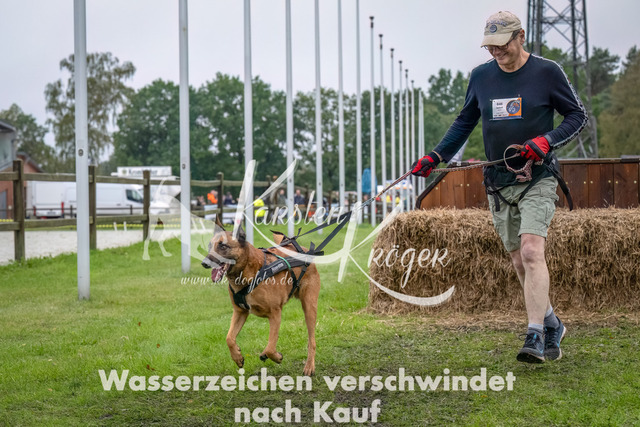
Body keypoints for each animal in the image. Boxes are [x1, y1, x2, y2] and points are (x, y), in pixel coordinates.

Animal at [201, 217, 320, 376]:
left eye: (223, 246)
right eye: (210, 246)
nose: (204, 263)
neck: (250, 272)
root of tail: (302, 248)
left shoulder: (275, 314)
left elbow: (270, 347)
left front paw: (277, 357)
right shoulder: (240, 312)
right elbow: (229, 338)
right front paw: (237, 357)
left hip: (309, 307)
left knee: (311, 340)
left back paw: (309, 366)